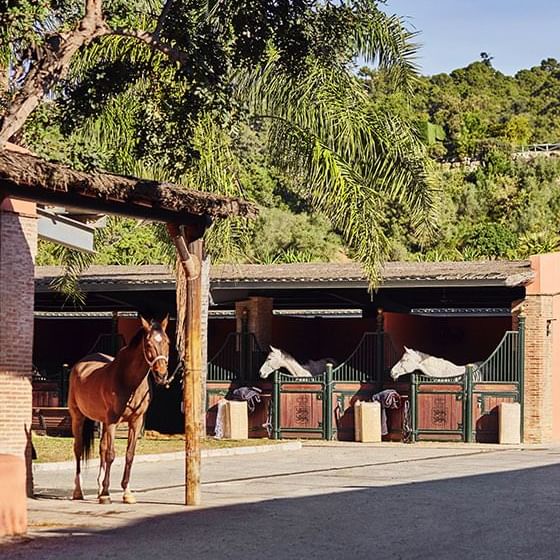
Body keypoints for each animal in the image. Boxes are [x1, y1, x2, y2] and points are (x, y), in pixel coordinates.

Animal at [68, 318, 168, 506]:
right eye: (148, 344)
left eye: (167, 342)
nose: (162, 375)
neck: (128, 381)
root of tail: (81, 364)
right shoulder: (113, 421)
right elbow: (111, 455)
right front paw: (106, 494)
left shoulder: (136, 421)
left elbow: (129, 454)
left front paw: (126, 493)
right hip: (78, 417)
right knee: (78, 449)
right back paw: (79, 491)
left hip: (102, 421)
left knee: (101, 447)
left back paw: (98, 488)